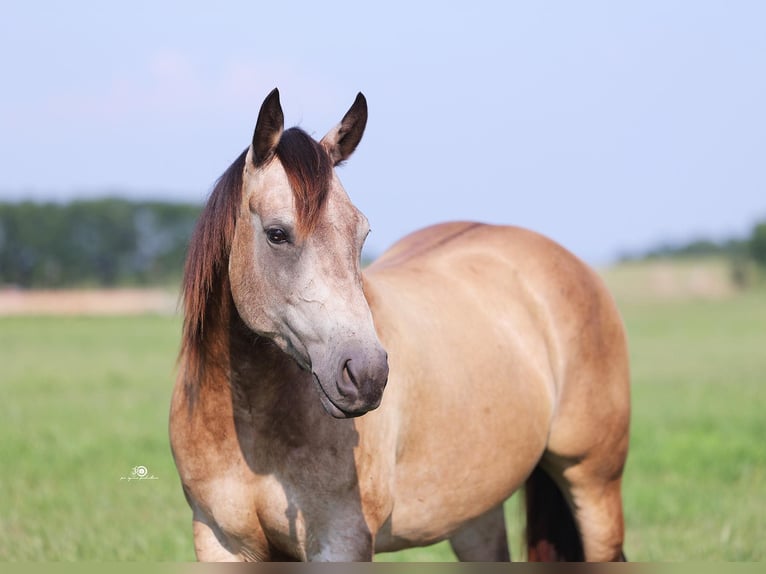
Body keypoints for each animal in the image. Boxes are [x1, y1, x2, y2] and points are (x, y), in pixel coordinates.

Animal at [169, 88, 631, 562]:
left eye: (362, 234)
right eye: (277, 234)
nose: (367, 374)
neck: (250, 426)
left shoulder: (343, 542)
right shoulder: (220, 542)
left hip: (594, 484)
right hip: (474, 513)